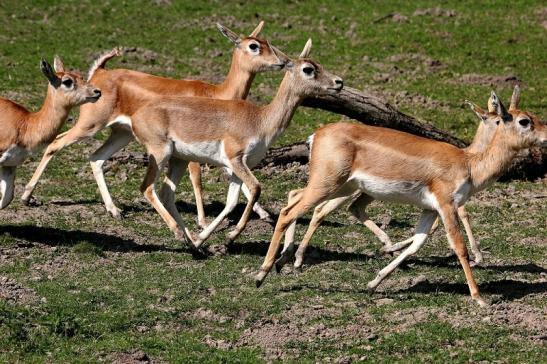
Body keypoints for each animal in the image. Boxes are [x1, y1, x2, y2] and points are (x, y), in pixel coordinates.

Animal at [0, 58, 100, 209]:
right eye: (67, 81)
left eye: (81, 76)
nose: (97, 91)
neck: (25, 125)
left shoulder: (10, 164)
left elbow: (6, 200)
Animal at [20, 22, 286, 225]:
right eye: (253, 46)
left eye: (266, 42)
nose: (281, 62)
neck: (217, 93)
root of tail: (100, 73)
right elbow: (198, 181)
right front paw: (202, 222)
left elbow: (234, 174)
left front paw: (264, 213)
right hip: (90, 126)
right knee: (55, 143)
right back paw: (25, 197)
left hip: (121, 133)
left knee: (96, 158)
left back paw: (114, 210)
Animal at [130, 39, 342, 247]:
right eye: (308, 69)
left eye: (319, 64)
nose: (338, 82)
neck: (260, 120)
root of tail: (136, 115)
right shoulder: (236, 159)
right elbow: (256, 188)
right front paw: (231, 235)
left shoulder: (238, 167)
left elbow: (231, 202)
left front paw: (203, 239)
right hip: (160, 154)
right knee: (147, 188)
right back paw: (179, 234)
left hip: (179, 160)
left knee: (166, 193)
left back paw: (192, 243)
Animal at [274, 92, 506, 272]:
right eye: (497, 120)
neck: (469, 157)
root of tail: (314, 137)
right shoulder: (445, 199)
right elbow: (454, 219)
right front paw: (478, 257)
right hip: (339, 186)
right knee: (317, 208)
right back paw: (295, 259)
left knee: (306, 199)